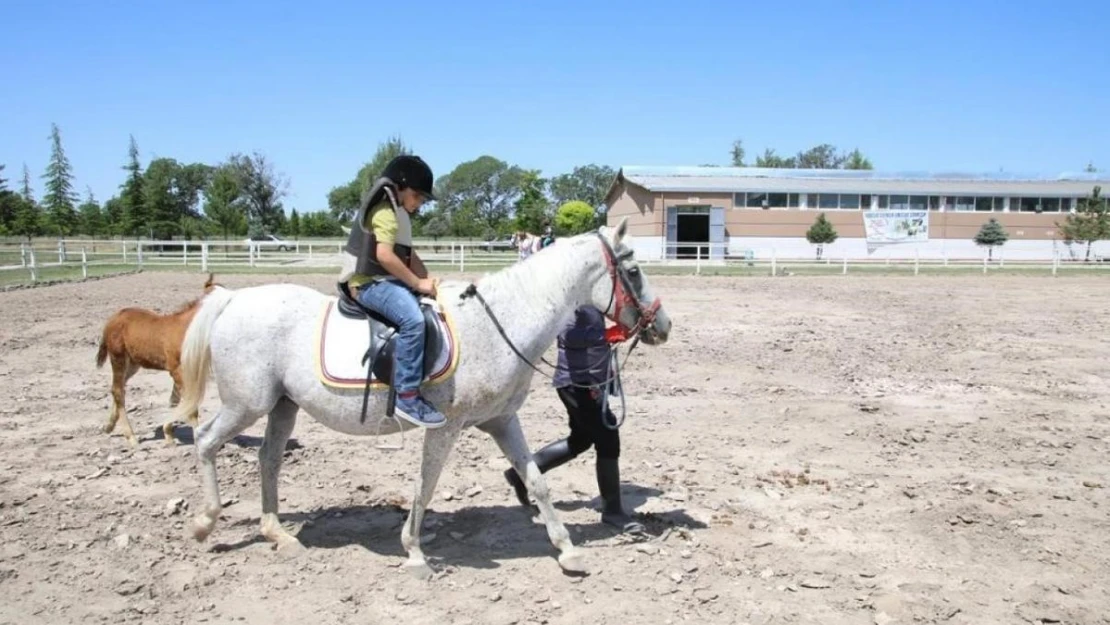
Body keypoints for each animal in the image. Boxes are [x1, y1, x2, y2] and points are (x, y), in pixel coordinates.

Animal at [173, 217, 666, 581]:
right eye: (633, 271)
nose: (664, 326)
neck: (499, 323)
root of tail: (233, 299)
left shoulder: (503, 421)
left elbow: (537, 481)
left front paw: (567, 550)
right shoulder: (445, 427)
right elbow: (425, 485)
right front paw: (413, 553)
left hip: (282, 406)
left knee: (269, 459)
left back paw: (278, 534)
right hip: (246, 404)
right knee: (206, 441)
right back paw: (204, 523)